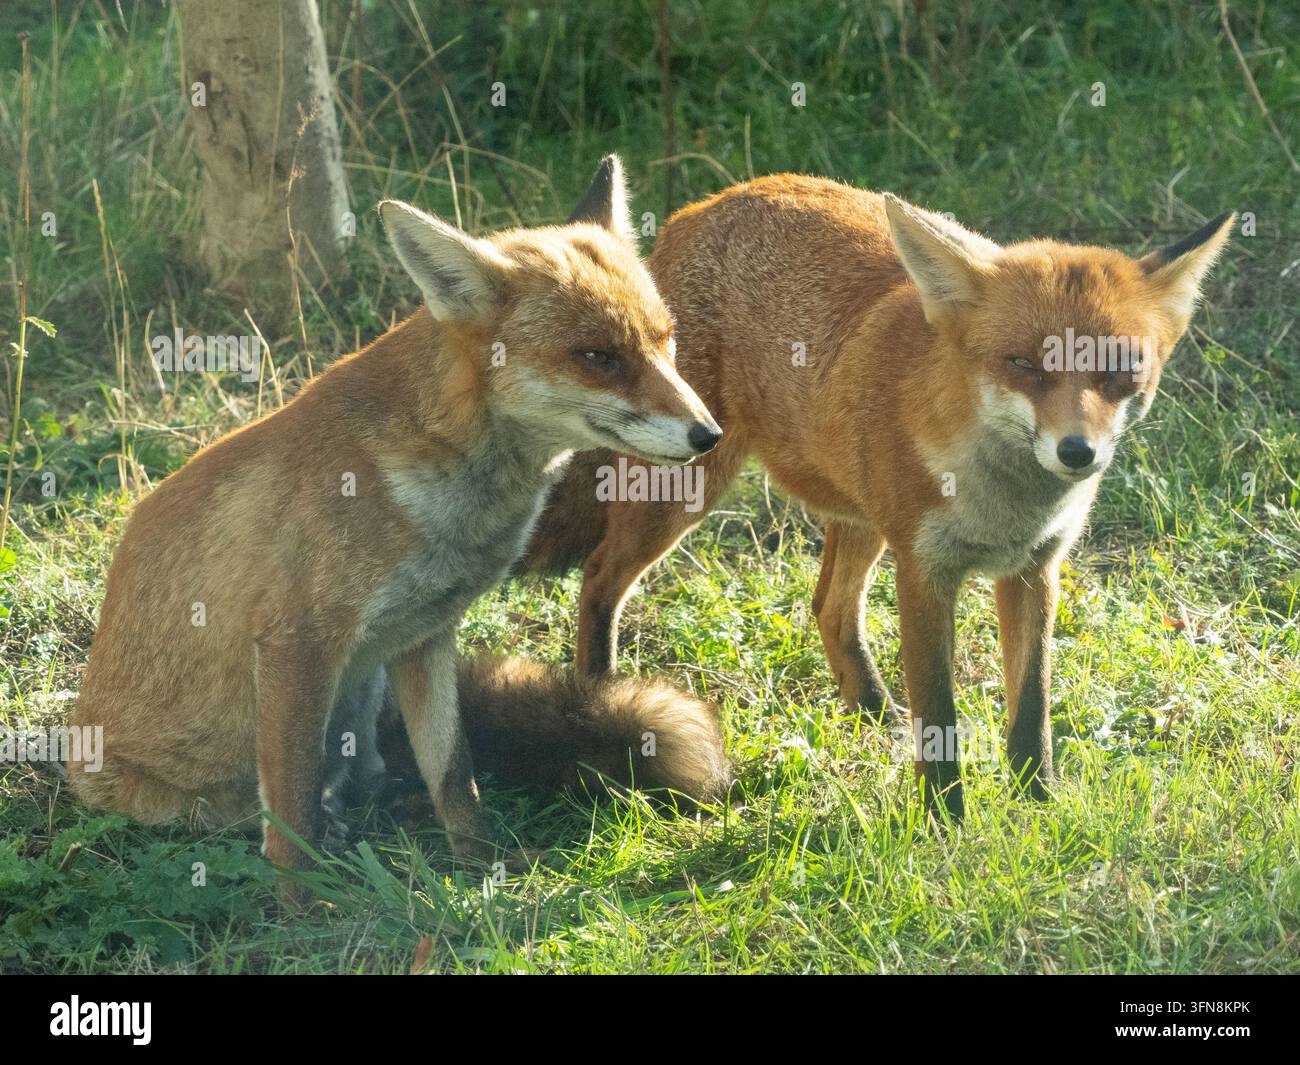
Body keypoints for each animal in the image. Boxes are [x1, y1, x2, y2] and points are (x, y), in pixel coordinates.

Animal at [67, 156, 724, 896]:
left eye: (666, 341)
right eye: (598, 357)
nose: (709, 435)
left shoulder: (425, 634)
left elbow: (455, 774)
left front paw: (481, 866)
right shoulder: (297, 642)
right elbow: (290, 815)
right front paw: (304, 906)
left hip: (366, 693)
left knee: (375, 777)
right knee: (279, 807)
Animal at [521, 174, 1234, 821]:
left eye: (1120, 370)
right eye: (1024, 365)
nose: (1077, 453)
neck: (1002, 504)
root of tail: (704, 205)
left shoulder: (1035, 568)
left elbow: (1031, 708)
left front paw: (1039, 805)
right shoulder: (924, 571)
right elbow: (939, 715)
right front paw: (947, 824)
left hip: (858, 515)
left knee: (829, 609)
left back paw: (872, 712)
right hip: (684, 482)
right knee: (599, 577)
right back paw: (601, 706)